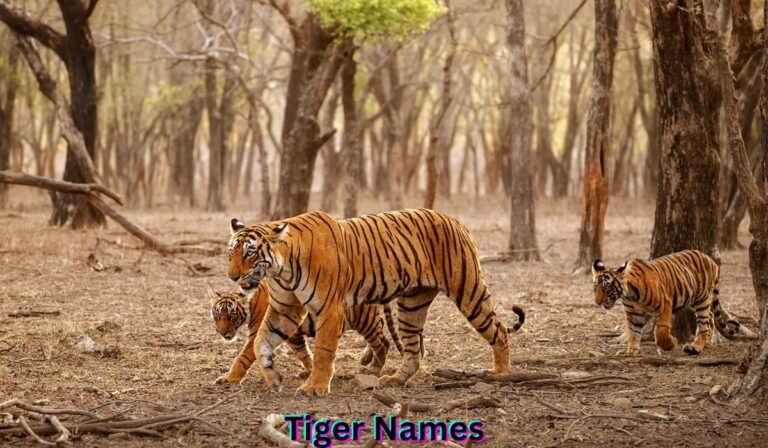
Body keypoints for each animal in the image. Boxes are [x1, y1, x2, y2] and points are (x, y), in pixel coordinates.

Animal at [209, 285, 403, 385]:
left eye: (232, 315)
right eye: (218, 314)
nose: (221, 332)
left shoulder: (257, 334)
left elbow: (241, 358)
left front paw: (228, 379)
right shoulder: (291, 334)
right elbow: (303, 353)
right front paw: (309, 371)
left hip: (364, 320)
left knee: (383, 342)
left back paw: (374, 368)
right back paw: (366, 360)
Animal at [592, 249, 742, 356]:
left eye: (606, 288)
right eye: (595, 288)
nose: (597, 302)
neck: (629, 294)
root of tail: (710, 259)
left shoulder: (665, 304)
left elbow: (661, 331)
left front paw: (672, 343)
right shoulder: (633, 313)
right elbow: (633, 332)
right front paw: (630, 351)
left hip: (702, 298)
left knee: (705, 320)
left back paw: (696, 346)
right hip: (694, 300)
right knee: (710, 316)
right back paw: (707, 342)